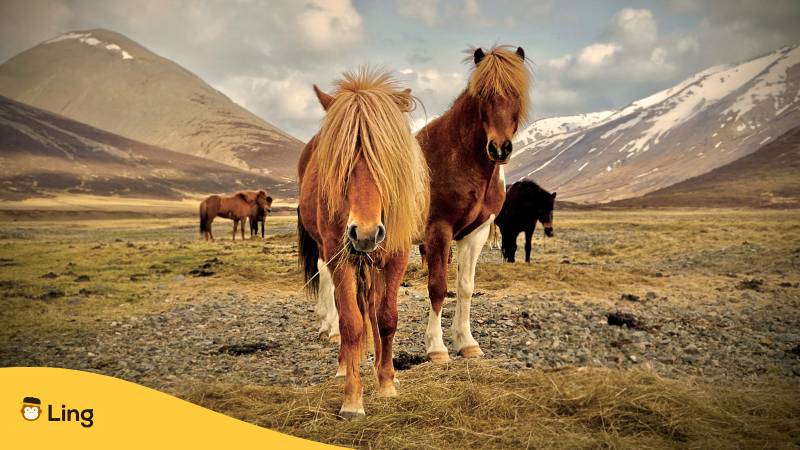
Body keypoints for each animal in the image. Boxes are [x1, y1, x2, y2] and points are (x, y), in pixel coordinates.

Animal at [297, 69, 429, 419]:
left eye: (388, 160)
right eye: (340, 163)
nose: (366, 233)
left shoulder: (396, 254)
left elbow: (386, 318)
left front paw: (387, 382)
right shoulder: (339, 256)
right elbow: (351, 323)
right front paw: (353, 399)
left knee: (373, 307)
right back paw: (346, 365)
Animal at [417, 45, 530, 362]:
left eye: (517, 93)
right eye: (482, 95)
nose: (500, 149)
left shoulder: (476, 233)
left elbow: (465, 286)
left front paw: (466, 342)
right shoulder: (438, 230)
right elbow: (438, 287)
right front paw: (436, 347)